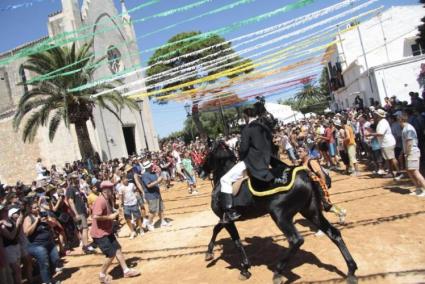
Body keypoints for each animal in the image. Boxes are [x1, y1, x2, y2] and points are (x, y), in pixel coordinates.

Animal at [204, 143, 356, 282]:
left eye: (206, 155)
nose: (201, 171)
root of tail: (305, 174)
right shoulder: (225, 218)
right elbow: (217, 228)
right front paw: (209, 253)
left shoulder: (227, 219)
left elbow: (236, 241)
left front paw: (245, 269)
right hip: (311, 212)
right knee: (334, 234)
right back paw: (351, 270)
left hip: (279, 215)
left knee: (296, 240)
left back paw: (278, 272)